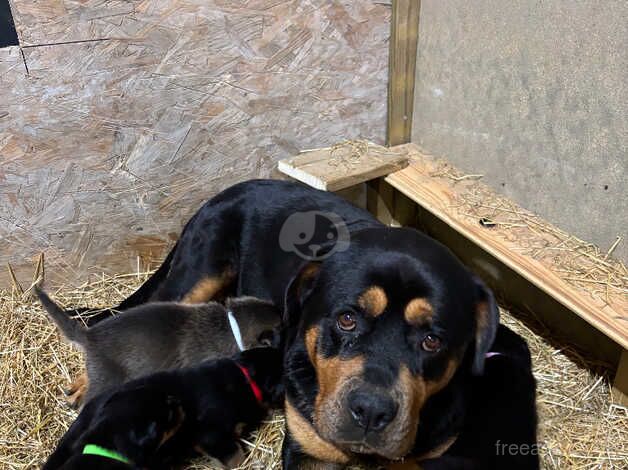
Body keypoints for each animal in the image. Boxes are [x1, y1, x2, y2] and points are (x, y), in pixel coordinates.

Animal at [62, 179, 536, 466]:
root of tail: (227, 191)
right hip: (199, 271)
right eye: (346, 320)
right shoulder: (307, 448)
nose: (371, 411)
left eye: (433, 341)